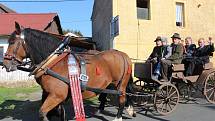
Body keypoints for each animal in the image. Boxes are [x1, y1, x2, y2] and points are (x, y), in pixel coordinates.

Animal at [2, 22, 134, 121]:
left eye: (12, 42)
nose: (5, 64)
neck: (53, 61)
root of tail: (123, 55)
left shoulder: (56, 95)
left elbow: (42, 112)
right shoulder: (53, 94)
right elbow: (58, 112)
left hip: (121, 84)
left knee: (122, 98)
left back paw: (118, 117)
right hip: (110, 83)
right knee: (106, 93)